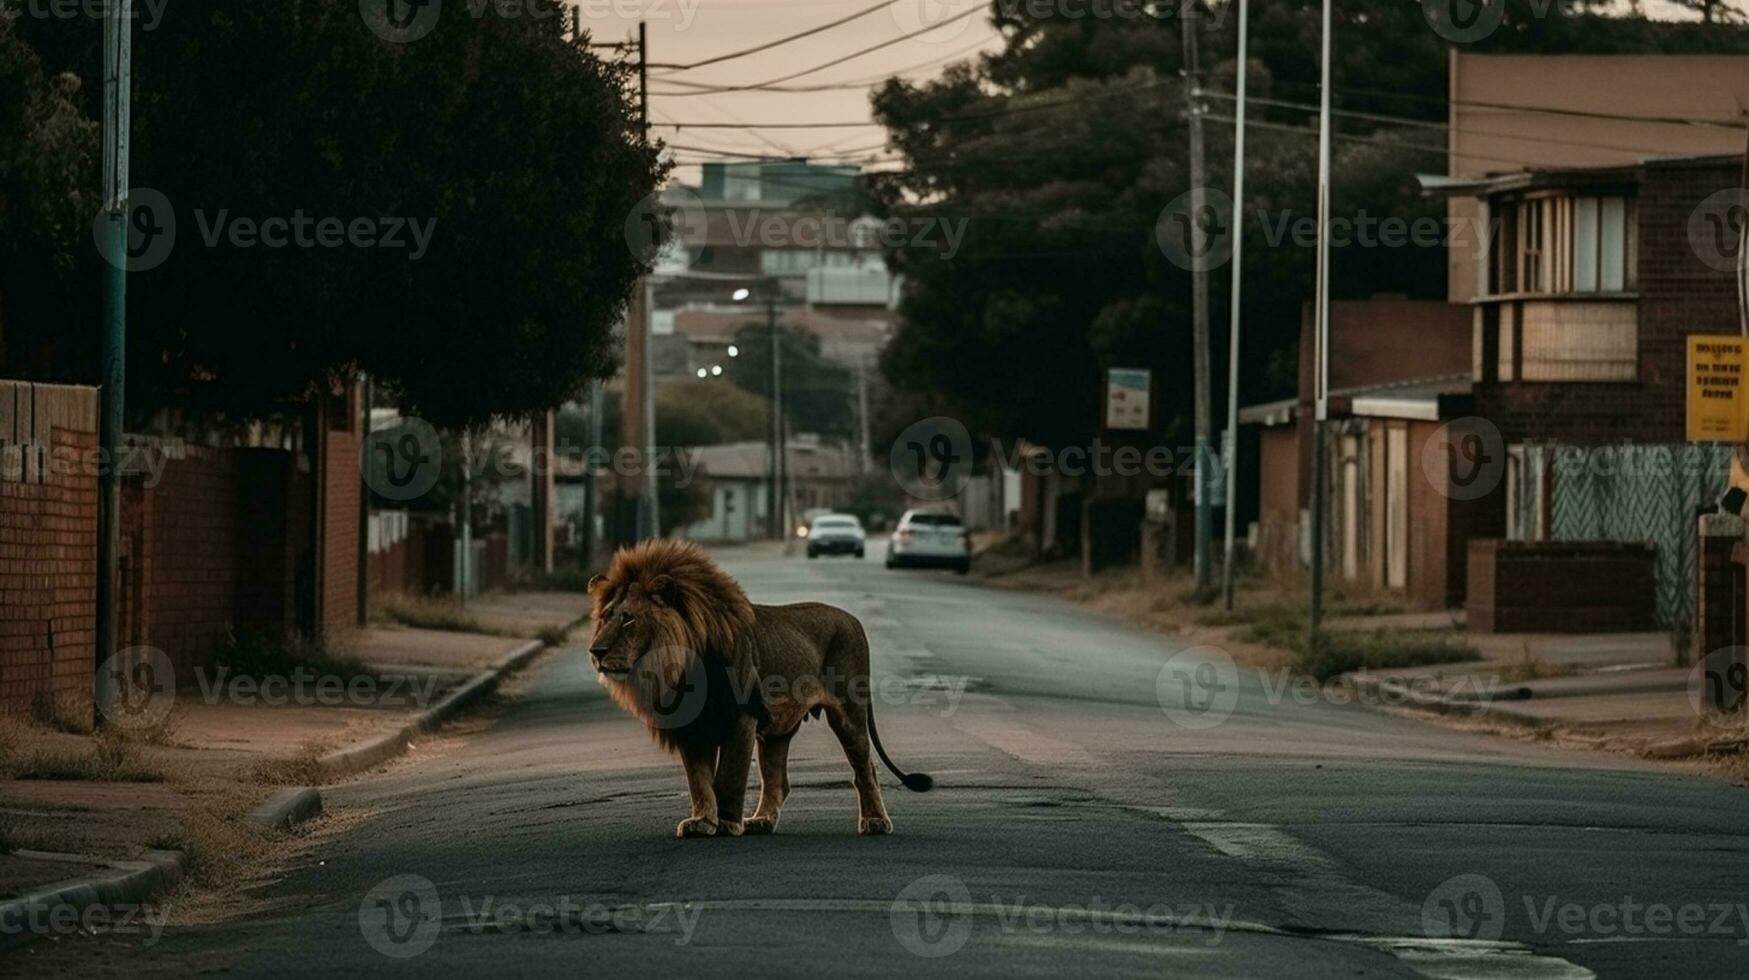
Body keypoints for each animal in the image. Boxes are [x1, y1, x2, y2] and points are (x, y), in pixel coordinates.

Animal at [587, 539, 930, 840]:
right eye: (605, 617)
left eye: (628, 619)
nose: (596, 651)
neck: (681, 662)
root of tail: (853, 618)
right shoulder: (694, 725)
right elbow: (699, 780)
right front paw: (702, 821)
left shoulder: (742, 717)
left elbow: (729, 776)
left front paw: (726, 824)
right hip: (778, 730)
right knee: (778, 780)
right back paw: (761, 821)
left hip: (848, 712)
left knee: (865, 766)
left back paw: (875, 821)